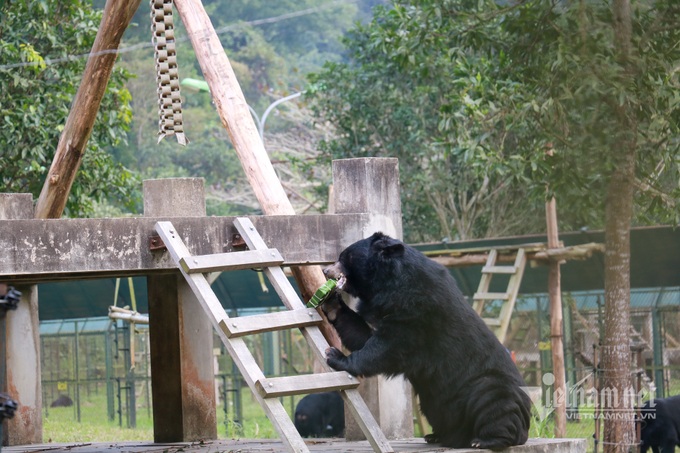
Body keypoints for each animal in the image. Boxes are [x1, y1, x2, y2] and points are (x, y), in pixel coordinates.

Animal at [322, 231, 532, 450]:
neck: (390, 282)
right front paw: (331, 303)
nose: (325, 270)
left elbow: (385, 347)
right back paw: (437, 436)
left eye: (345, 257)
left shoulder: (416, 312)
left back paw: (483, 440)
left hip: (492, 387)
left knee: (494, 403)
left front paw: (334, 356)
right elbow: (362, 336)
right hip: (434, 404)